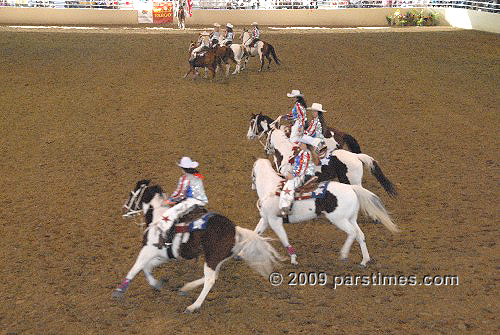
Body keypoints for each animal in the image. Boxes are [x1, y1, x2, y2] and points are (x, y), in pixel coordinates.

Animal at [114, 181, 284, 316]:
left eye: (131, 194)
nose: (124, 210)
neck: (158, 218)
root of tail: (235, 230)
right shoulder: (162, 255)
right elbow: (147, 267)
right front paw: (156, 284)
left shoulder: (147, 250)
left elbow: (136, 268)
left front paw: (119, 291)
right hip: (216, 259)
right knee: (214, 276)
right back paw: (186, 288)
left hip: (212, 259)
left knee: (210, 280)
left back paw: (193, 306)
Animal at [252, 159, 400, 266]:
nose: (252, 185)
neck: (271, 188)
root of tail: (351, 188)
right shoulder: (265, 219)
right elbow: (256, 233)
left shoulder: (275, 221)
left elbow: (284, 239)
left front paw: (293, 259)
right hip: (351, 219)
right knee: (360, 235)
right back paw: (364, 260)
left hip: (339, 219)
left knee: (352, 233)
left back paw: (344, 254)